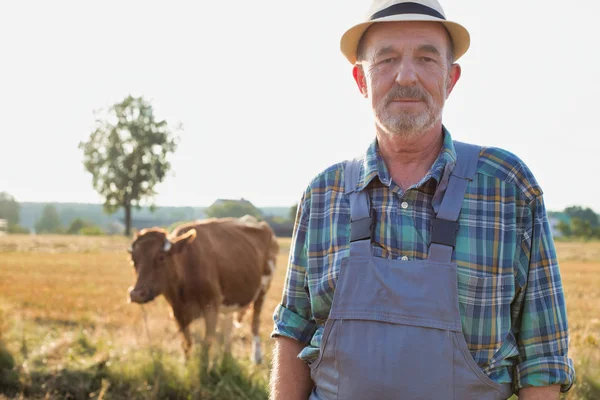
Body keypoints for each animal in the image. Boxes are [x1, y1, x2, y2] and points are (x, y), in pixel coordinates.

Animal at [127, 217, 278, 364]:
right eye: (133, 259)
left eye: (161, 257)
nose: (136, 294)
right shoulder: (178, 312)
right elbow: (187, 343)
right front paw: (187, 365)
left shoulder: (211, 308)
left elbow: (207, 343)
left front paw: (205, 368)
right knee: (228, 326)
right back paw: (226, 355)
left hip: (263, 290)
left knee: (255, 323)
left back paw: (256, 357)